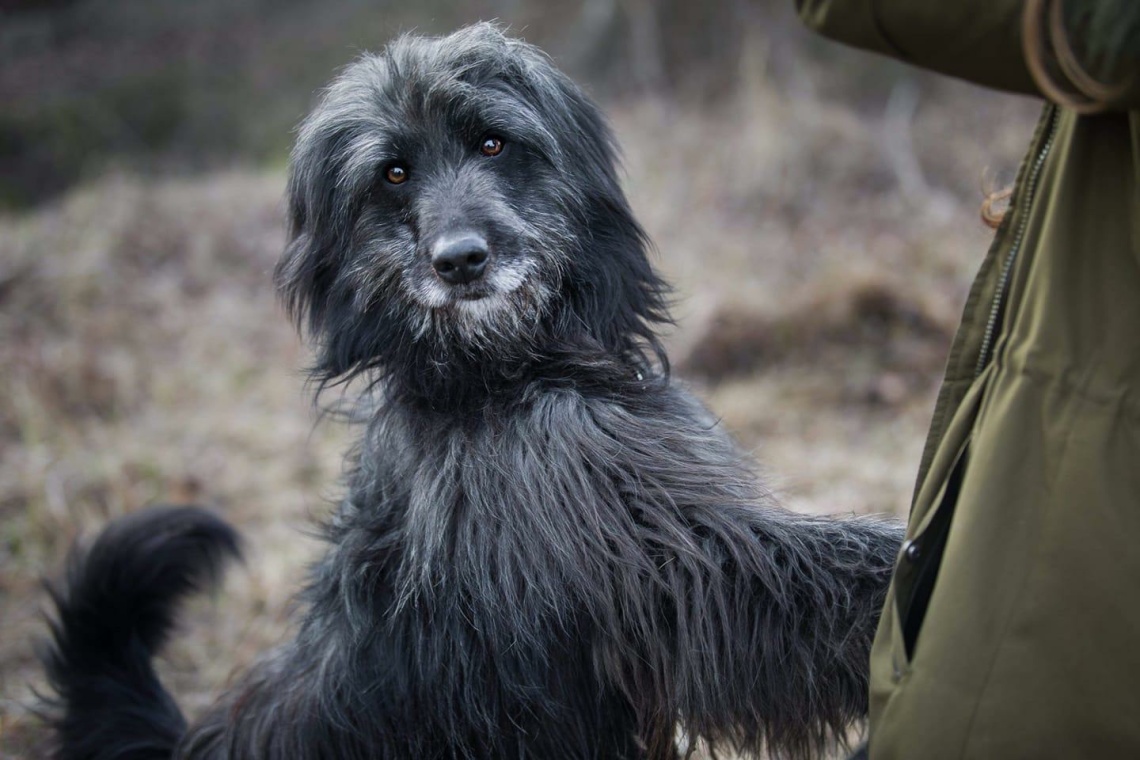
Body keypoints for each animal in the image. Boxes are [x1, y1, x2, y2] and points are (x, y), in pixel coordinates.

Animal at [40, 23, 902, 760]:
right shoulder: (666, 558)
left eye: (492, 140)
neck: (492, 378)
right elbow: (781, 582)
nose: (460, 261)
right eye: (392, 173)